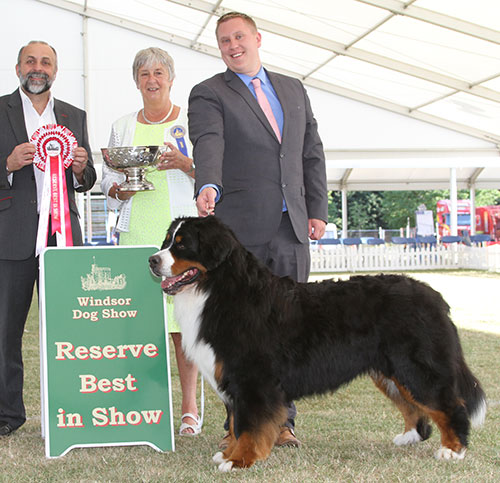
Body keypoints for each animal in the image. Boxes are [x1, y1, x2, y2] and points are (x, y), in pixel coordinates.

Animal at [148, 216, 484, 472]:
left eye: (182, 244)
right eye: (166, 240)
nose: (152, 260)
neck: (219, 289)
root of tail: (434, 296)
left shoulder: (252, 379)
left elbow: (249, 425)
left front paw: (239, 460)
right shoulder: (235, 378)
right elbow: (235, 424)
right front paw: (228, 453)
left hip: (416, 367)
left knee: (450, 405)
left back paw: (453, 449)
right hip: (391, 372)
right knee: (413, 406)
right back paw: (409, 437)